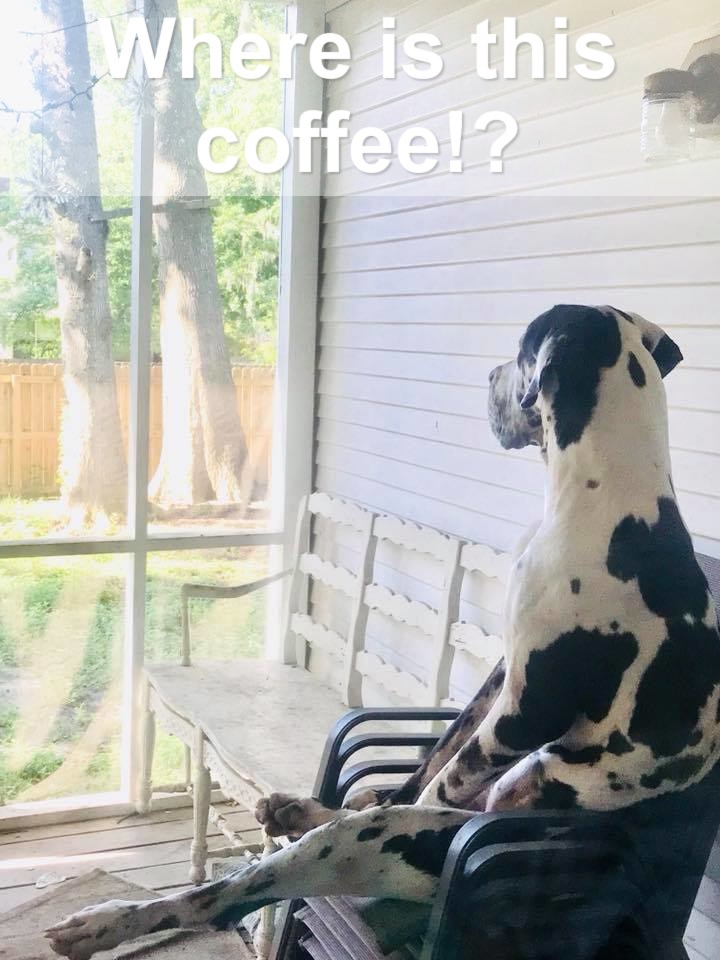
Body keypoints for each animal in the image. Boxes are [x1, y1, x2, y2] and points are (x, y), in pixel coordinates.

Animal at [45, 308, 720, 960]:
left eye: (520, 348)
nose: (488, 377)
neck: (611, 500)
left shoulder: (527, 707)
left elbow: (444, 778)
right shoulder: (499, 676)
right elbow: (437, 755)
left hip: (360, 844)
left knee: (232, 892)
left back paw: (106, 922)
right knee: (372, 806)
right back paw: (303, 809)